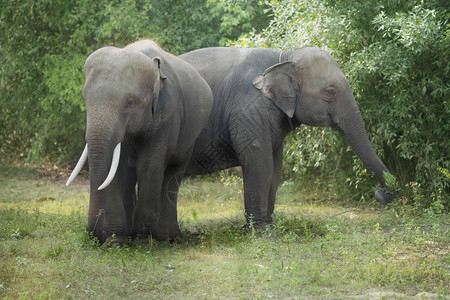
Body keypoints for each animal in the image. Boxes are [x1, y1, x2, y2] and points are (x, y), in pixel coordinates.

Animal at [66, 39, 214, 243]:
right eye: (85, 98)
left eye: (130, 103)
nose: (94, 236)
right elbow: (118, 170)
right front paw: (115, 241)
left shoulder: (167, 115)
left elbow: (149, 165)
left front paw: (143, 240)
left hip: (190, 138)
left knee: (173, 174)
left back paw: (169, 238)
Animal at [181, 47, 396, 230]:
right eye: (330, 92)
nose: (380, 193)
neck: (283, 56)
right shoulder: (248, 111)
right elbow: (259, 163)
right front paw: (261, 232)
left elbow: (275, 168)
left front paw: (270, 225)